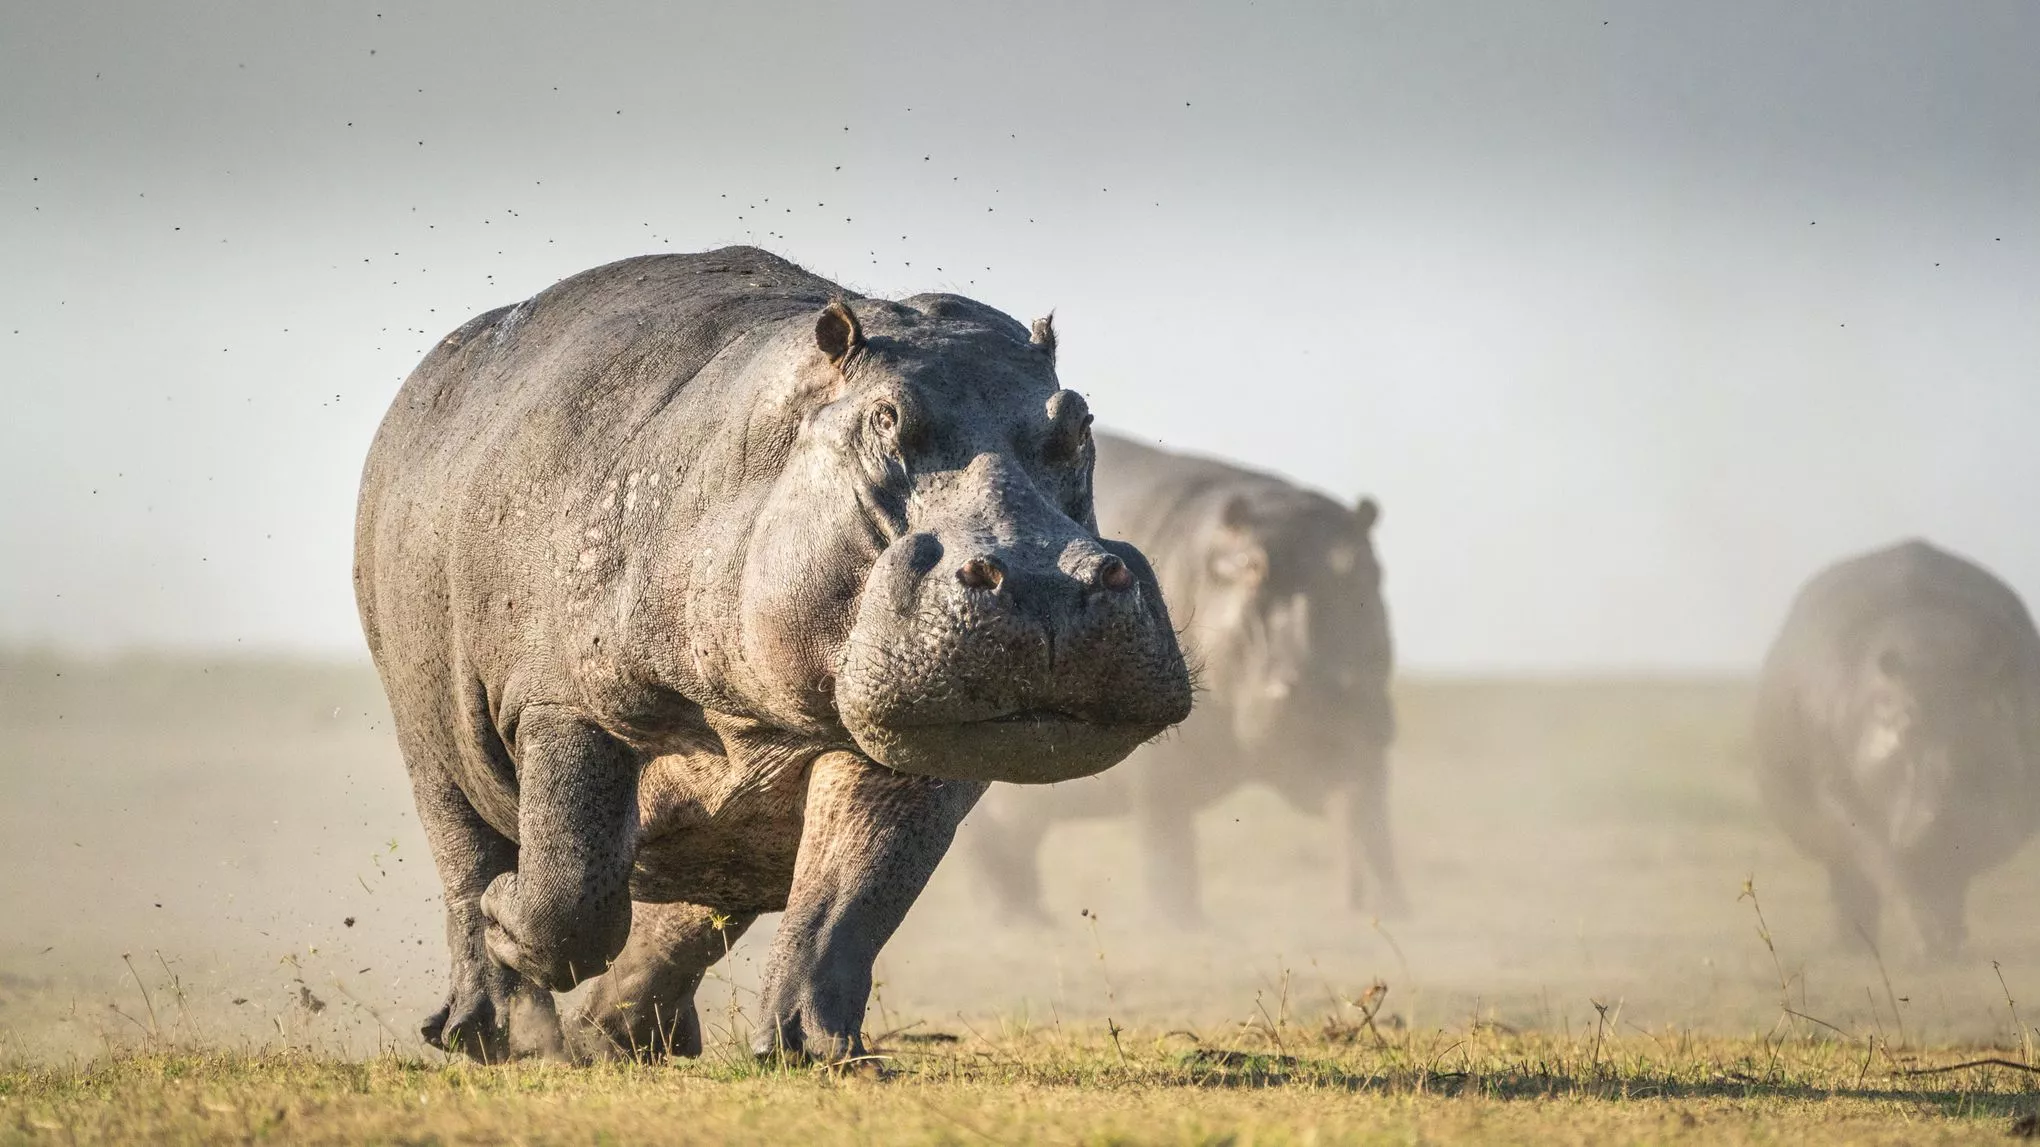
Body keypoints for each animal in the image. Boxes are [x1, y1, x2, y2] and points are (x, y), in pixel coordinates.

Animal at [348, 245, 1191, 1061]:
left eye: (1079, 421)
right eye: (886, 417)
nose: (1046, 583)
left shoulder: (907, 750)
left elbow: (849, 899)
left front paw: (816, 1051)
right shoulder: (565, 702)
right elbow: (570, 885)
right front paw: (505, 919)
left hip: (729, 836)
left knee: (697, 911)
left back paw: (621, 1036)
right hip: (428, 737)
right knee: (467, 856)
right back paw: (485, 1028)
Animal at [958, 432, 1403, 922]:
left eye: (1365, 570)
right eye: (1254, 568)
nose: (1331, 689)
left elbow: (1373, 820)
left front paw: (1391, 909)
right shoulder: (1157, 770)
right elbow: (1167, 844)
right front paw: (1182, 924)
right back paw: (1020, 920)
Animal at [1754, 534, 2040, 955]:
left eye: (1978, 723)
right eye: (1907, 727)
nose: (1939, 820)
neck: (1932, 650)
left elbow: (1951, 880)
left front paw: (1947, 942)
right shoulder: (1843, 799)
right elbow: (1890, 870)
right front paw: (1927, 944)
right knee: (1851, 883)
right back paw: (1854, 947)